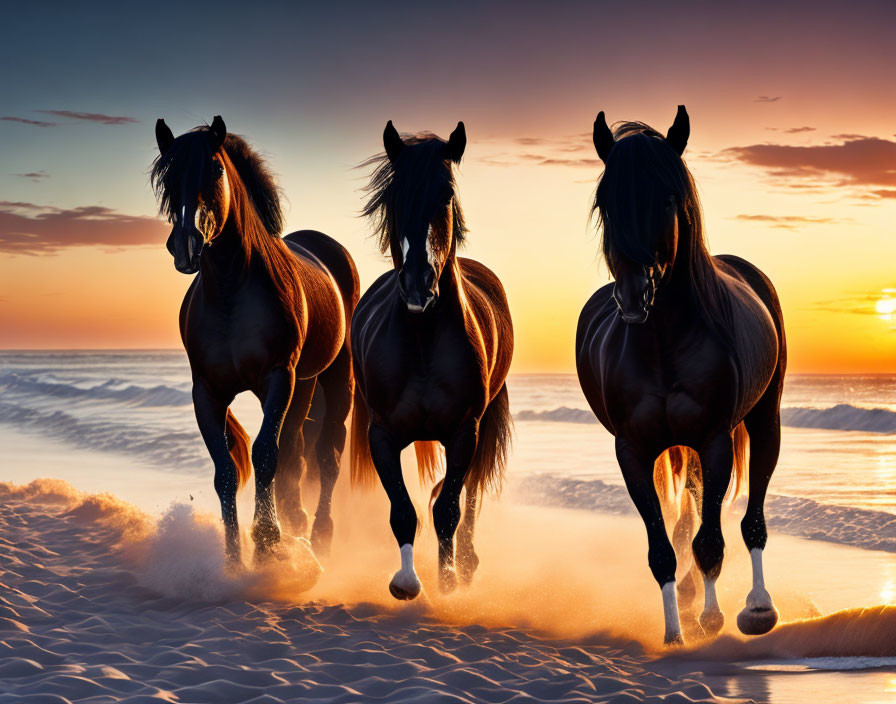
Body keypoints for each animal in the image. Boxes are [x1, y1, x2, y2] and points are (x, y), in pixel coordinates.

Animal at [150, 118, 356, 564]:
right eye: (168, 176)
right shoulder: (207, 392)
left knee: (327, 453)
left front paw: (266, 541)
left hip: (334, 377)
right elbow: (226, 470)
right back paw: (297, 520)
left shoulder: (277, 377)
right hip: (303, 384)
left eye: (214, 168)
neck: (231, 289)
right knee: (296, 450)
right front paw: (233, 558)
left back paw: (321, 533)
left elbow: (264, 454)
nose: (187, 244)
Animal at [352, 121, 516, 600]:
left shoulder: (465, 432)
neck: (423, 343)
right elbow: (403, 510)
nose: (417, 285)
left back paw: (466, 562)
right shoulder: (382, 436)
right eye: (395, 196)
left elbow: (447, 509)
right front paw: (407, 581)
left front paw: (447, 583)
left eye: (445, 194)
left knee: (470, 494)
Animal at [576, 107, 784, 648]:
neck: (663, 343)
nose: (633, 295)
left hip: (763, 421)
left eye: (668, 197)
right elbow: (663, 548)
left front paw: (710, 620)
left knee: (751, 519)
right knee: (685, 520)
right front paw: (675, 633)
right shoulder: (632, 452)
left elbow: (710, 540)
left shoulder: (713, 441)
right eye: (606, 203)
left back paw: (757, 607)